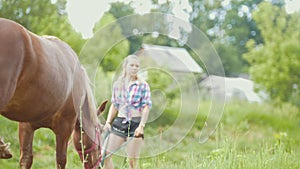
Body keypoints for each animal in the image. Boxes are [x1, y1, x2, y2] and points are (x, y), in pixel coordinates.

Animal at [0, 17, 107, 168]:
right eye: (100, 130)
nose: (98, 164)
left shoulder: (26, 126)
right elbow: (61, 160)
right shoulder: (65, 128)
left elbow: (26, 159)